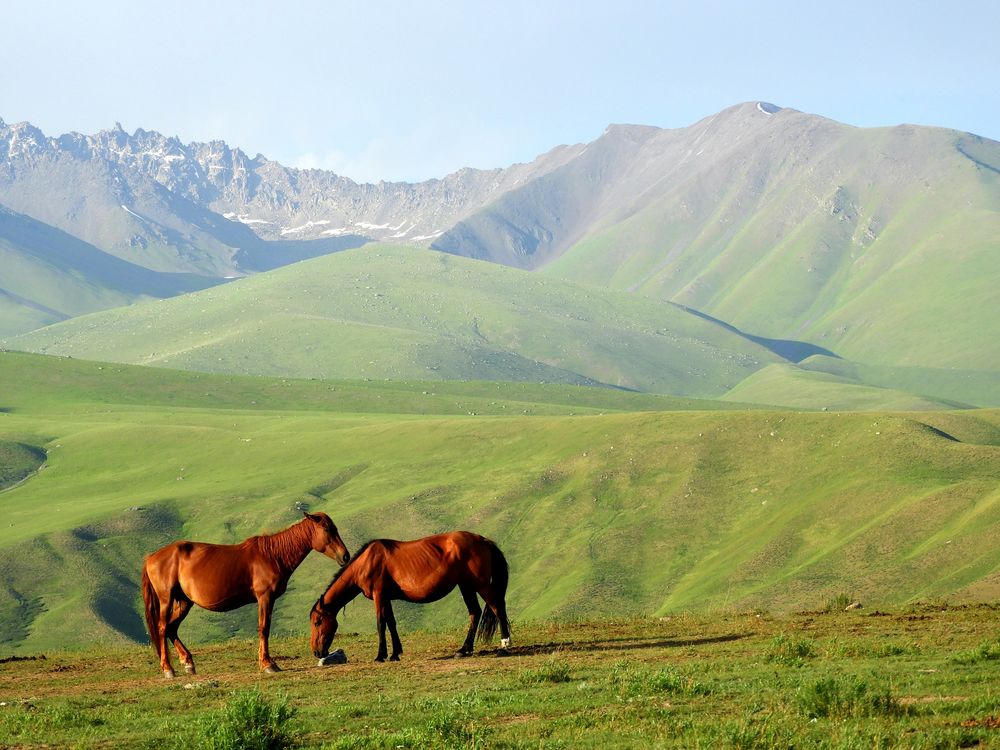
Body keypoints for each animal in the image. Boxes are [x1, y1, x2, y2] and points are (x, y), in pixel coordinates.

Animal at [141, 511, 350, 677]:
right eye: (327, 529)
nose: (345, 556)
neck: (273, 555)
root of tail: (151, 557)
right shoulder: (265, 598)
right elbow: (264, 628)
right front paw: (268, 664)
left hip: (185, 602)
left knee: (172, 628)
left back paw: (188, 663)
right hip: (166, 599)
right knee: (162, 628)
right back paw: (168, 669)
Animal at [310, 531, 511, 662]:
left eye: (317, 622)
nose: (317, 652)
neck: (366, 562)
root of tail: (483, 540)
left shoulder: (379, 595)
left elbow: (380, 624)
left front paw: (380, 655)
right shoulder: (387, 598)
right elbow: (391, 623)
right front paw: (395, 653)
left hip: (480, 584)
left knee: (497, 607)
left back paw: (504, 647)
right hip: (466, 586)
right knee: (474, 612)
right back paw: (464, 649)